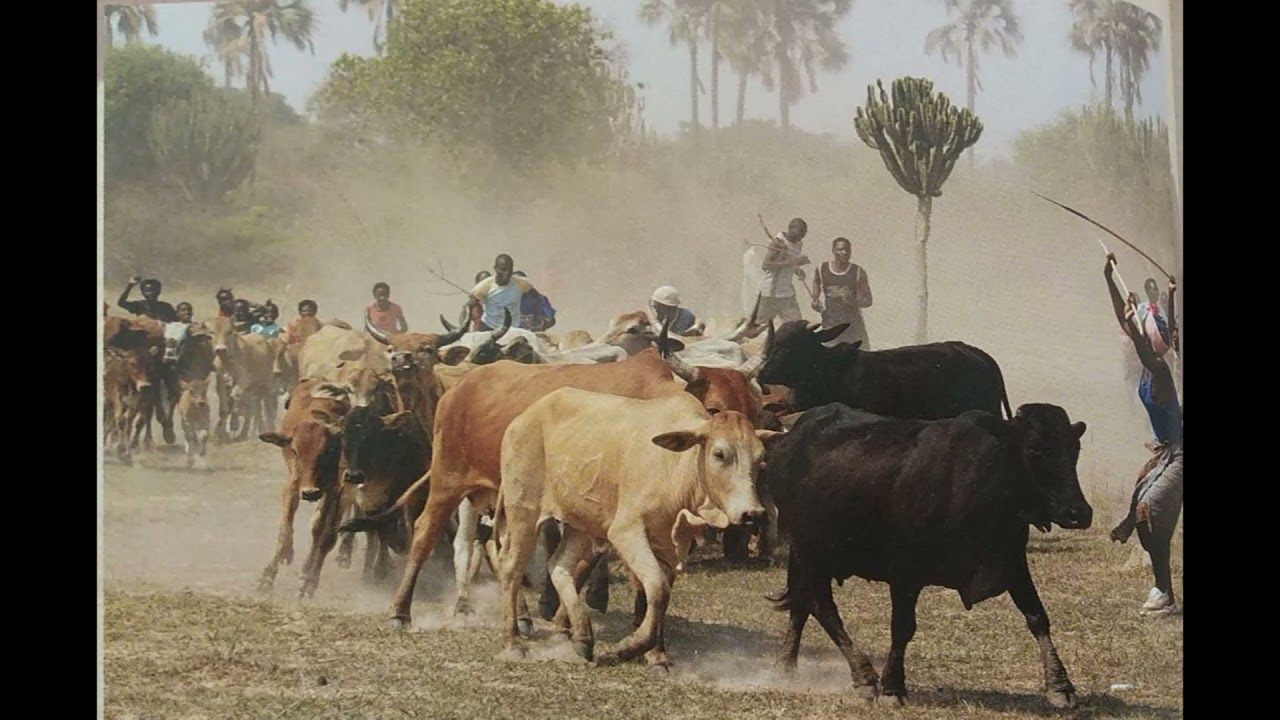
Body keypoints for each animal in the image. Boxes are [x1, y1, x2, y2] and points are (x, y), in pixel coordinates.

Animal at [488, 389, 768, 666]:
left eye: (760, 459)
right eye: (720, 454)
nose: (752, 513)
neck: (676, 466)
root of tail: (523, 418)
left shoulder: (669, 545)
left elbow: (657, 595)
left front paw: (657, 654)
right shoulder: (626, 531)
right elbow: (657, 588)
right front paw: (630, 647)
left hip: (580, 522)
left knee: (559, 565)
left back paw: (582, 638)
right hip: (523, 512)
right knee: (511, 567)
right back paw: (514, 641)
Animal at [762, 399, 1095, 707]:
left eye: (1074, 449)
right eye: (1037, 449)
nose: (1079, 512)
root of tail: (789, 437)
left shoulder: (1013, 564)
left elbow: (1037, 617)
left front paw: (1060, 686)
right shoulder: (904, 573)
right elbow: (902, 628)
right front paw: (892, 688)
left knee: (802, 605)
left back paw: (786, 665)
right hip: (810, 553)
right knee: (822, 607)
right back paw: (864, 677)